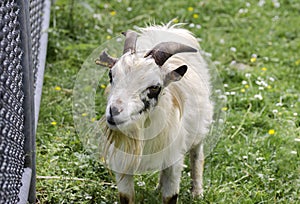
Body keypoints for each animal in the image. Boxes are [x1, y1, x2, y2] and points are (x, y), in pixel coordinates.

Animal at [96, 23, 213, 203]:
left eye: (154, 87)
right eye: (111, 75)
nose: (114, 112)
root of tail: (168, 29)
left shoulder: (174, 161)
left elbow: (170, 196)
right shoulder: (123, 162)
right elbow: (126, 197)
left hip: (199, 128)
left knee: (197, 155)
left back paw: (197, 193)